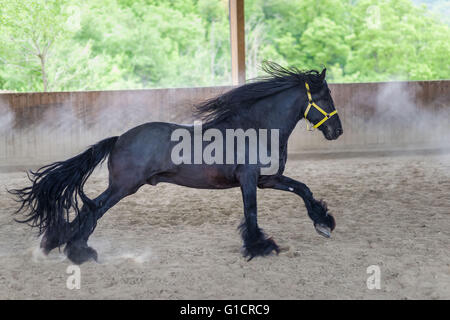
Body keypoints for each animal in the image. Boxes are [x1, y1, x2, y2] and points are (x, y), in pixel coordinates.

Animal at [9, 62, 342, 262]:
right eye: (325, 97)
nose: (336, 131)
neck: (256, 128)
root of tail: (118, 138)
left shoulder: (267, 179)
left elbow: (303, 189)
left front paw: (323, 224)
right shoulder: (249, 180)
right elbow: (251, 213)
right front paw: (260, 247)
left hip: (124, 187)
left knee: (89, 209)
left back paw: (59, 243)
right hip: (124, 187)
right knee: (93, 210)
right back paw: (79, 251)